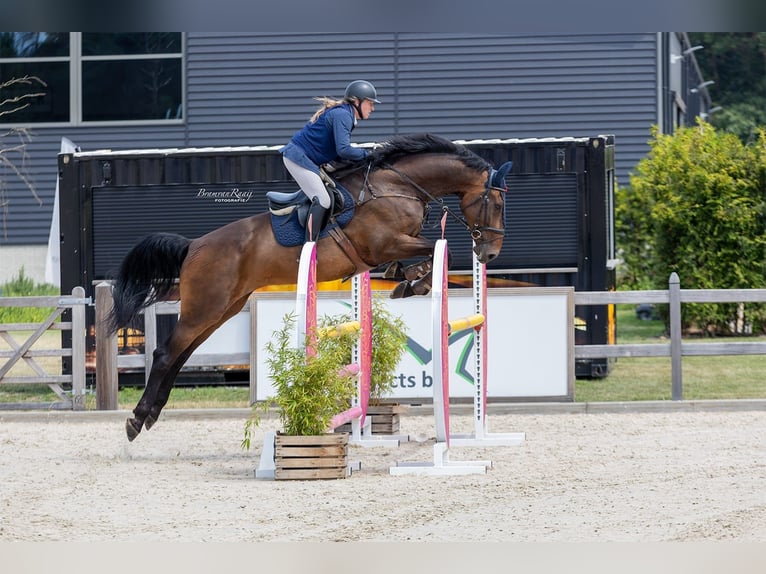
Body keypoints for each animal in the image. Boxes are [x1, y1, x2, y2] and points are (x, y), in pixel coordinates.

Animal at [106, 132, 512, 441]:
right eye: (495, 202)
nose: (490, 252)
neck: (396, 186)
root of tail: (192, 246)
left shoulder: (394, 245)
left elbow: (428, 255)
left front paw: (407, 279)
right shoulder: (385, 243)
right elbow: (441, 250)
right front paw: (413, 283)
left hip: (222, 309)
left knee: (181, 354)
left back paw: (150, 414)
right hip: (206, 307)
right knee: (166, 354)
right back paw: (136, 420)